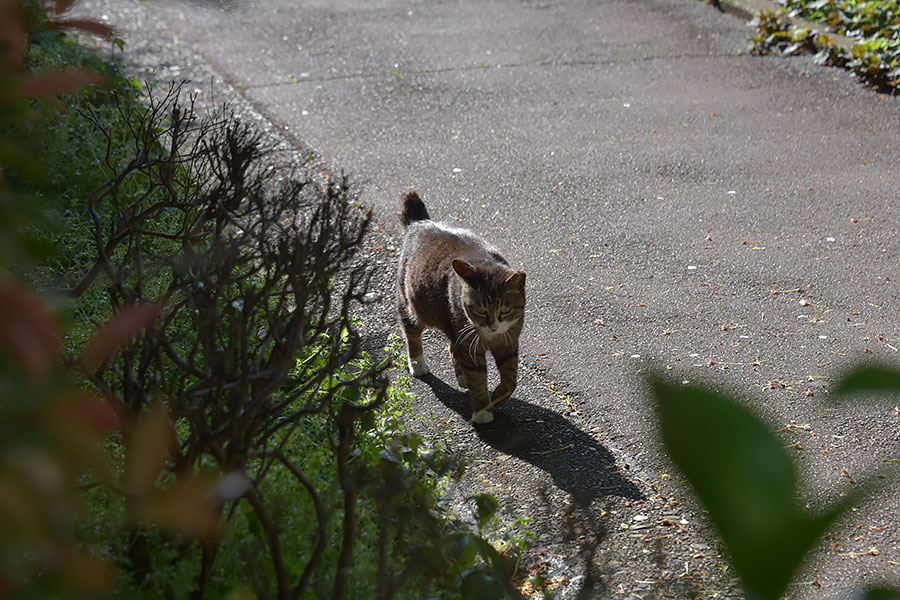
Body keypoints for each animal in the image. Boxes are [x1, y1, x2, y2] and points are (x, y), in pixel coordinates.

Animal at [396, 190, 528, 424]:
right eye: (480, 310)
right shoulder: (469, 344)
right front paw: (483, 410)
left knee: (451, 347)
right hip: (411, 305)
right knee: (412, 333)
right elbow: (478, 379)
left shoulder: (509, 343)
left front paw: (497, 397)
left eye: (505, 310)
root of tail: (421, 222)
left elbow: (510, 380)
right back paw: (418, 364)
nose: (493, 326)